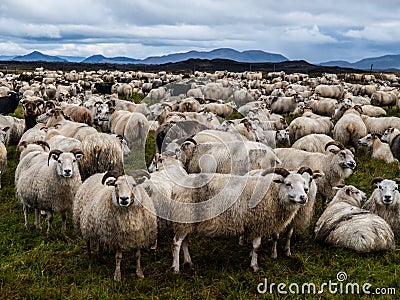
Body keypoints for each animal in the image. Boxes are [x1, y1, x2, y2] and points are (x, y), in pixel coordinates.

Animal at [170, 168, 314, 274]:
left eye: (304, 184)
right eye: (288, 184)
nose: (304, 197)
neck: (272, 194)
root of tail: (176, 187)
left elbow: (254, 247)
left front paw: (251, 257)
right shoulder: (258, 223)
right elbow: (257, 246)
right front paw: (255, 266)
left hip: (185, 220)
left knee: (184, 241)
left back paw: (189, 262)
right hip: (184, 216)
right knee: (177, 243)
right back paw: (176, 268)